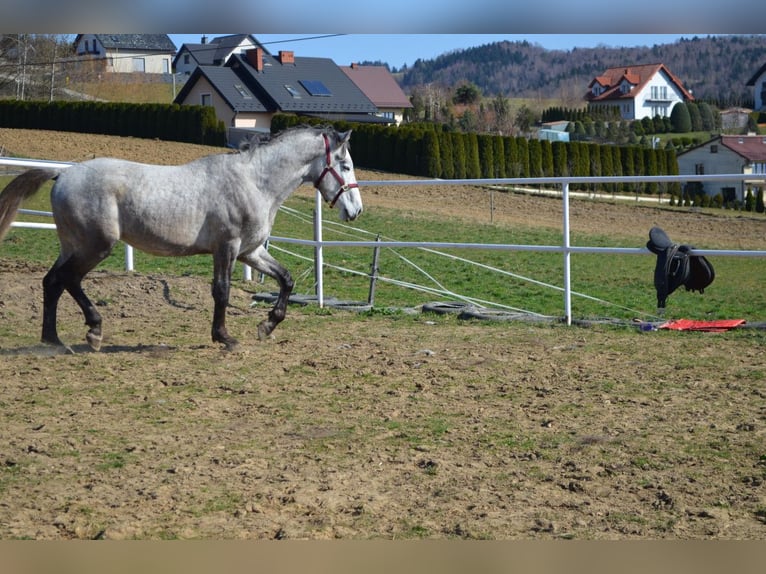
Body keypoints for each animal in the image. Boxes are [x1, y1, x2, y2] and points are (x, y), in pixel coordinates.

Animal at [0, 126, 362, 351]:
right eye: (345, 165)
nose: (355, 210)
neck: (254, 182)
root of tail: (63, 175)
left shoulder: (250, 251)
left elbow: (286, 279)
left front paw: (267, 326)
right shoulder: (227, 247)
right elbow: (222, 291)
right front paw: (225, 338)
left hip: (72, 245)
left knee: (52, 282)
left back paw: (53, 340)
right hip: (96, 246)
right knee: (69, 279)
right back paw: (93, 331)